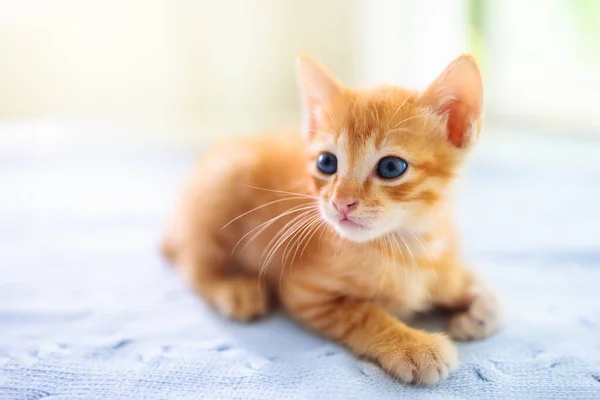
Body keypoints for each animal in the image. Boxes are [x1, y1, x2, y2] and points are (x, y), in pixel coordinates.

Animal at [161, 54, 502, 384]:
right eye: (327, 162)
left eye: (392, 167)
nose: (341, 202)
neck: (409, 245)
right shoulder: (307, 293)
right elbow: (364, 314)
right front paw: (413, 347)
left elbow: (482, 292)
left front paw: (479, 310)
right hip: (223, 183)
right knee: (192, 264)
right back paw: (233, 288)